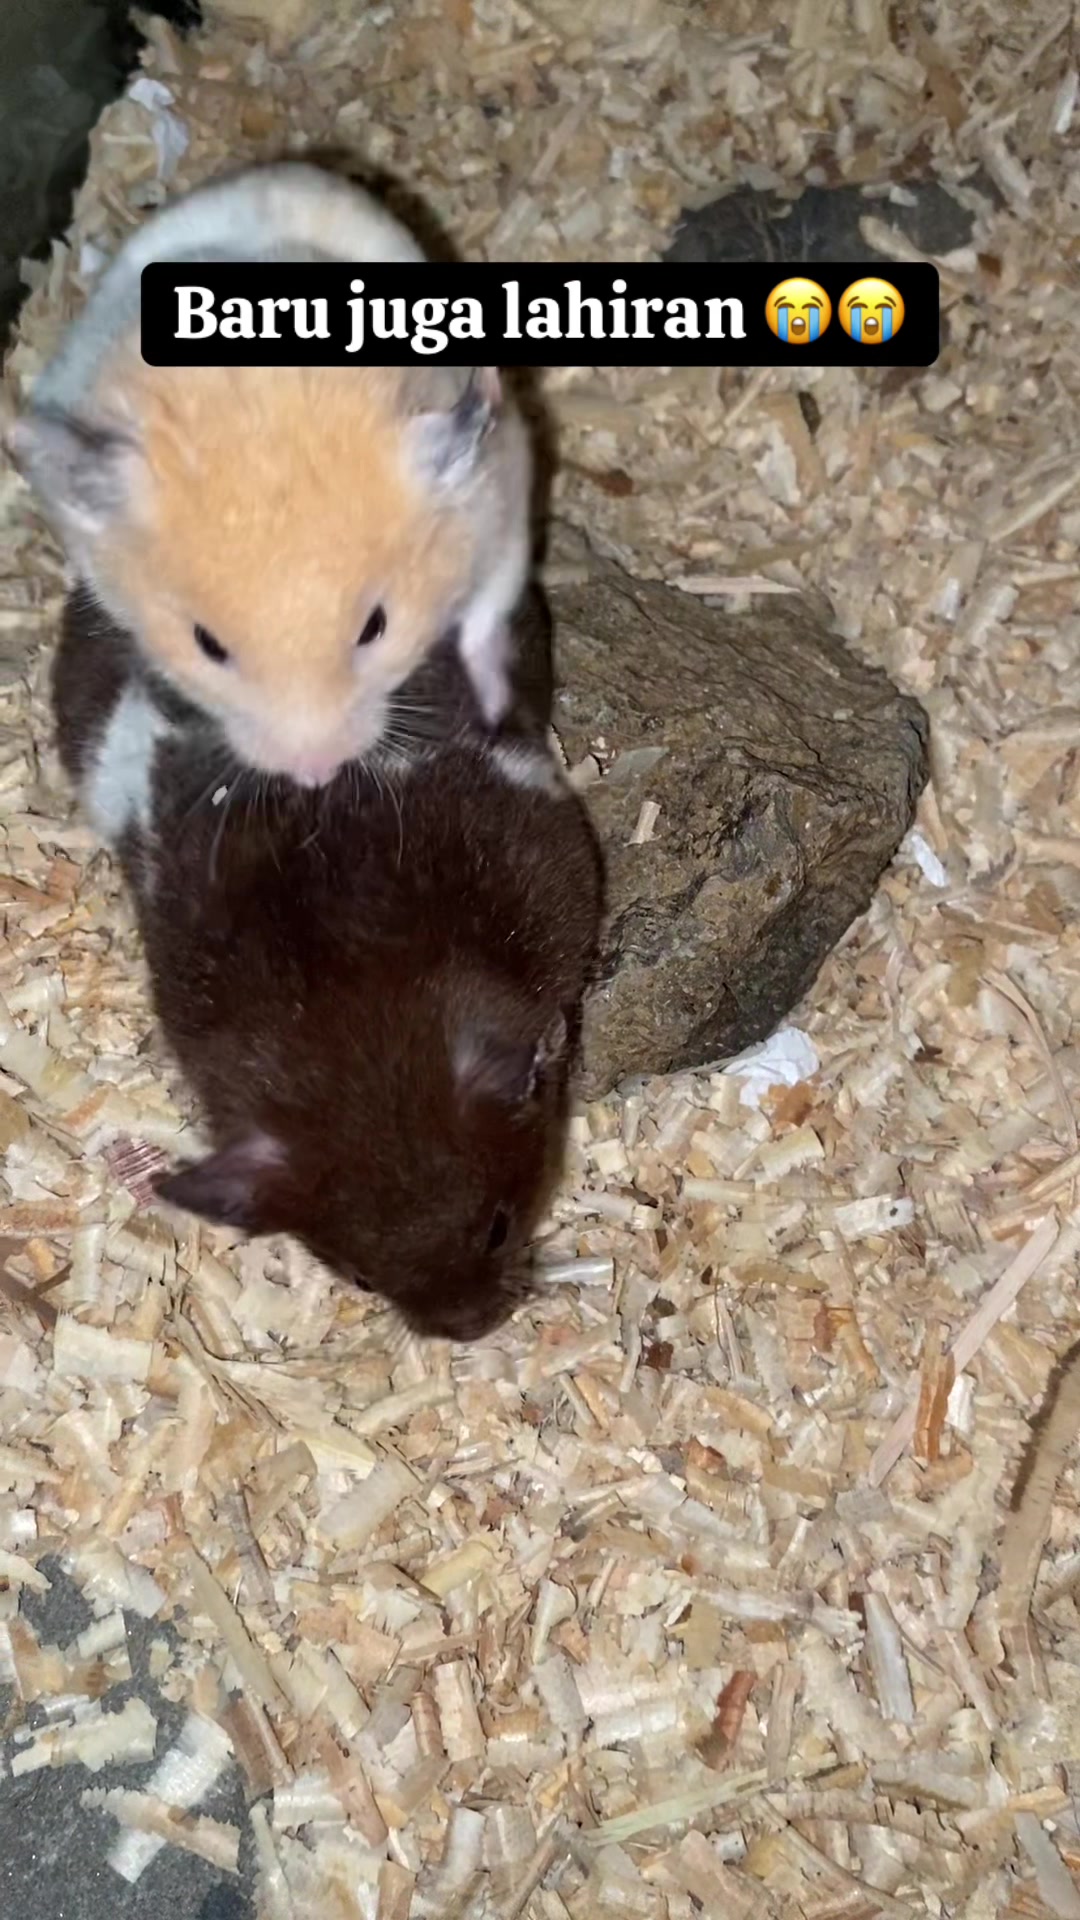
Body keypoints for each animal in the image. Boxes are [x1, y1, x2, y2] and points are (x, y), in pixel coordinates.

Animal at [11, 161, 532, 789]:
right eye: (207, 645)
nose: (316, 776)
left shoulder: (501, 499)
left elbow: (486, 612)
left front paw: (495, 709)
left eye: (376, 627)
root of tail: (279, 169)